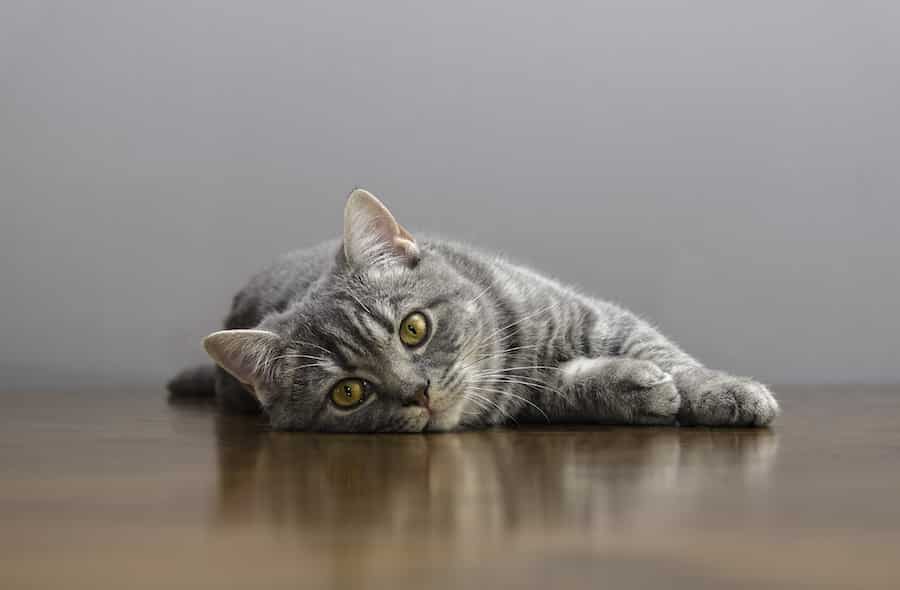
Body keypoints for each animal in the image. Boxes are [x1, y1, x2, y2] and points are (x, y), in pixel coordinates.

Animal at [169, 192, 780, 432]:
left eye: (413, 328)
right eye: (348, 392)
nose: (418, 393)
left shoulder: (594, 316)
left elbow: (665, 352)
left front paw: (723, 391)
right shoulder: (530, 399)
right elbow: (569, 389)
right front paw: (632, 389)